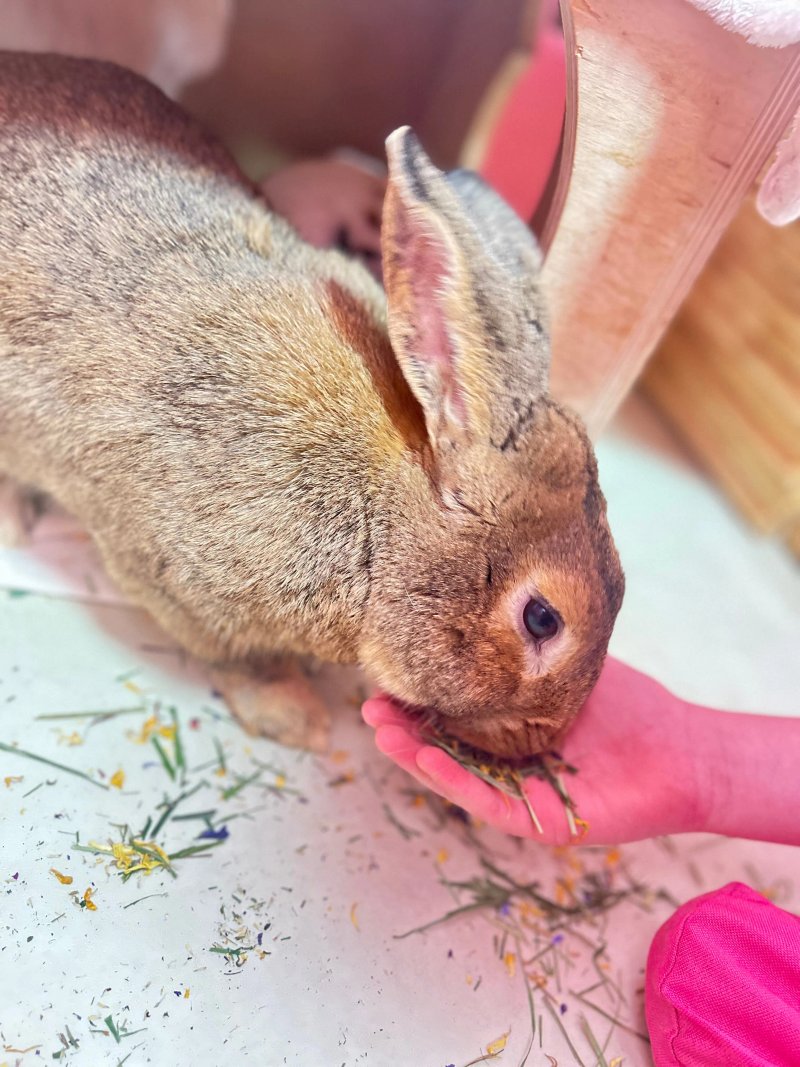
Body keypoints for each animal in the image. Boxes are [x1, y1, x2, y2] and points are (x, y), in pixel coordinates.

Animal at [0, 52, 624, 759]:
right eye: (543, 619)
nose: (541, 737)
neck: (386, 517)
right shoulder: (186, 590)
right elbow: (244, 663)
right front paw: (298, 721)